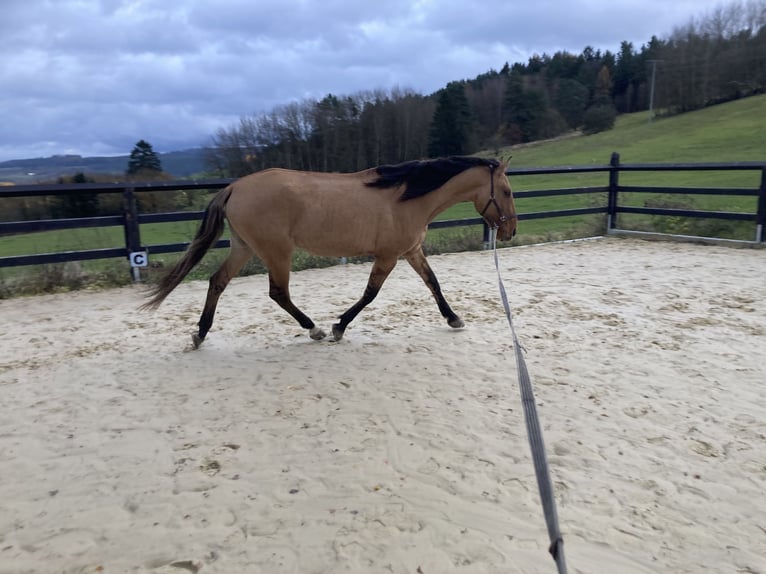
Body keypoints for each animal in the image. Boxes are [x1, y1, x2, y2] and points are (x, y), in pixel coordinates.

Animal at [141, 155, 520, 348]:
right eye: (506, 190)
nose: (510, 231)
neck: (405, 197)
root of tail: (234, 187)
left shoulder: (412, 251)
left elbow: (433, 284)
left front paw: (454, 318)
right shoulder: (388, 255)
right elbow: (370, 294)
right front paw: (338, 327)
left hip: (245, 247)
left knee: (217, 282)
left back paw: (200, 334)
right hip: (276, 251)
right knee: (278, 292)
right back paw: (315, 330)